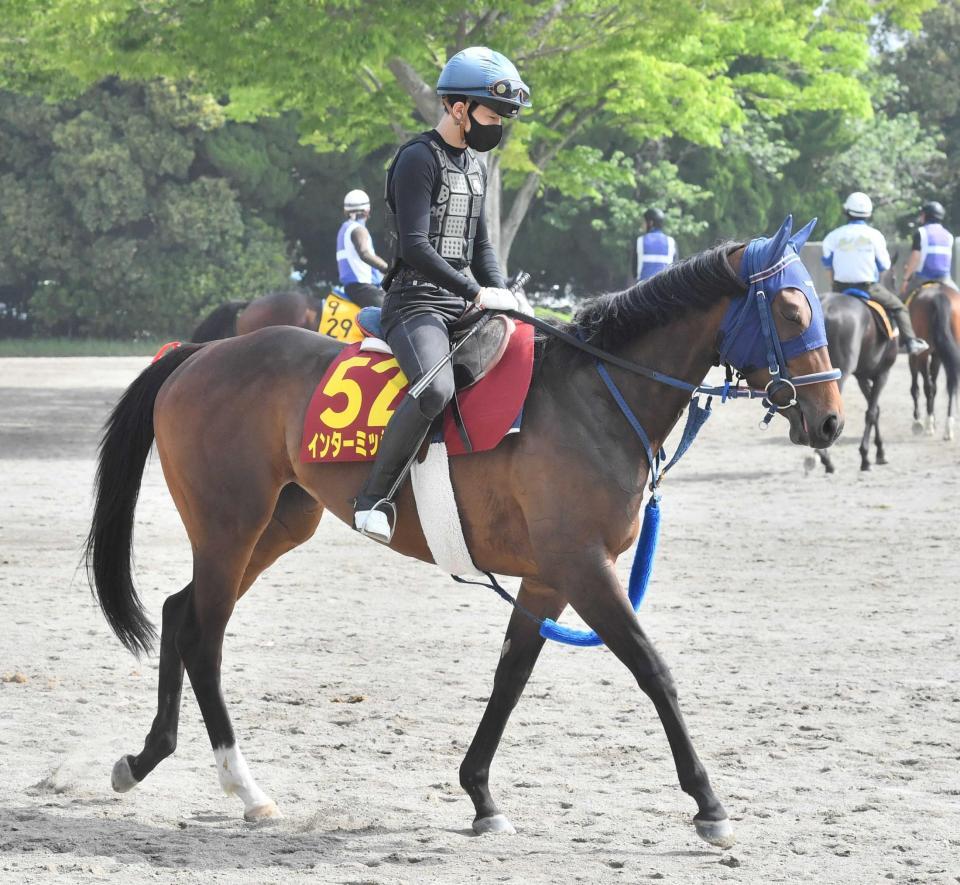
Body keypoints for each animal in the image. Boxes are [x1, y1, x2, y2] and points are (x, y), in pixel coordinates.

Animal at [86, 218, 844, 848]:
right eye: (793, 309)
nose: (832, 419)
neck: (595, 395)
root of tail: (199, 356)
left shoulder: (547, 578)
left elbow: (511, 675)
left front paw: (480, 793)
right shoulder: (584, 568)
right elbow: (653, 668)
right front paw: (709, 803)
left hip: (277, 524)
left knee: (179, 611)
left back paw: (142, 759)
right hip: (229, 527)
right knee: (205, 636)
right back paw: (244, 787)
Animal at [908, 280, 960, 438]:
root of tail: (939, 296)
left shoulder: (914, 355)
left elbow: (916, 388)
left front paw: (918, 421)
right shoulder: (937, 356)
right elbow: (935, 386)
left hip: (922, 354)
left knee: (927, 386)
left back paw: (929, 424)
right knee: (950, 385)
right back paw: (948, 428)